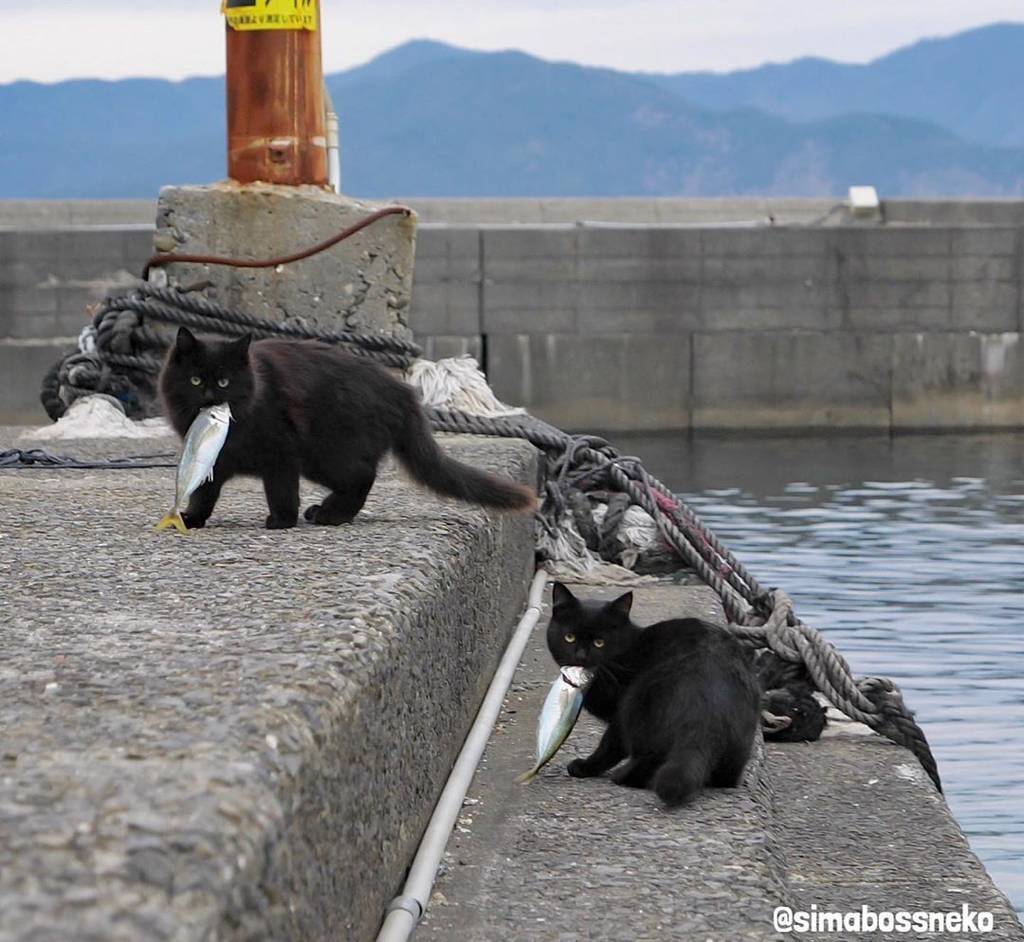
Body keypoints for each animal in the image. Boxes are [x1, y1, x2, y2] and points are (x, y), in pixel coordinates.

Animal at [159, 327, 536, 524]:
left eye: (224, 381)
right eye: (195, 380)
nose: (209, 397)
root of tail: (403, 392)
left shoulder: (282, 452)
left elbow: (281, 490)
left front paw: (282, 521)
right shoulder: (211, 458)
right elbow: (203, 491)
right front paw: (191, 518)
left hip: (325, 453)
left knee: (362, 477)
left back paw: (329, 515)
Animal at [552, 585, 761, 806]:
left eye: (600, 642)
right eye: (569, 638)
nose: (581, 656)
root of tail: (705, 712)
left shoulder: (618, 716)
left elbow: (610, 745)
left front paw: (585, 766)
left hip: (637, 701)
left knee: (649, 755)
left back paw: (623, 776)